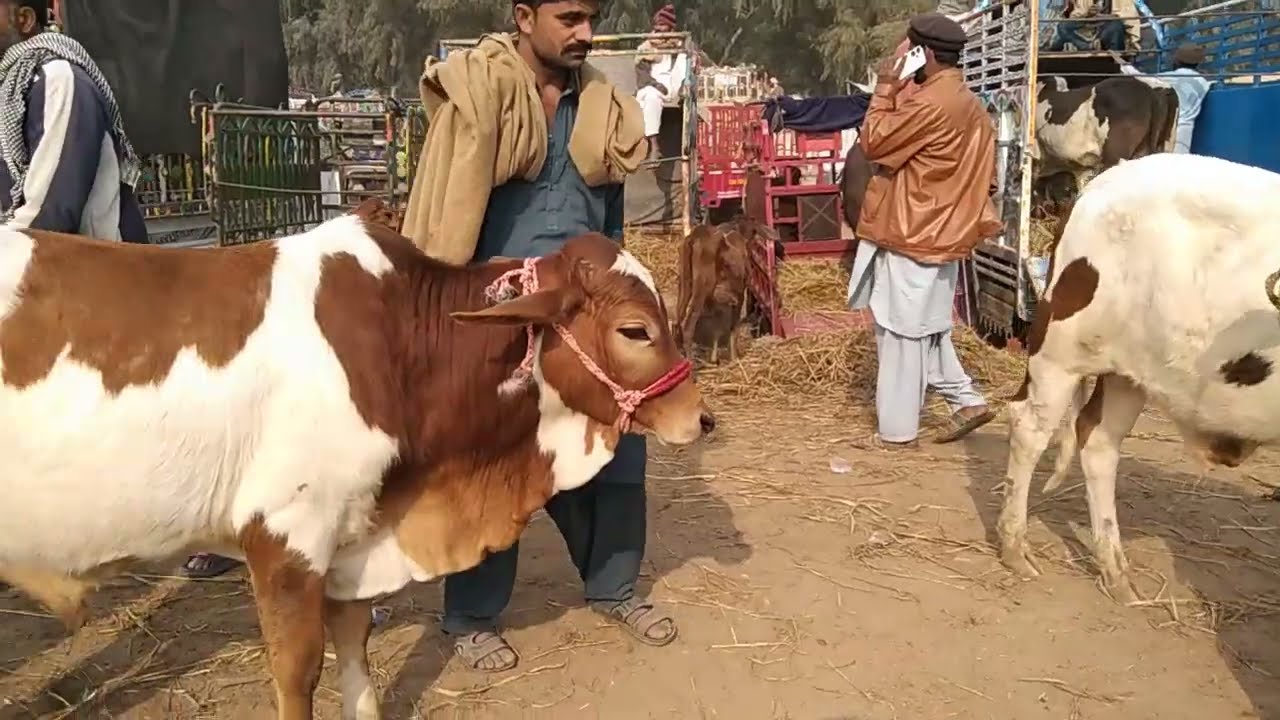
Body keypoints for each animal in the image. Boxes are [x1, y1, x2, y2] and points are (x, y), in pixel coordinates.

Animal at [0, 213, 713, 720]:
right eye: (635, 331)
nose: (700, 417)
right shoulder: (286, 535)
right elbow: (297, 673)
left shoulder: (354, 534)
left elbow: (355, 644)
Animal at [674, 218, 774, 363]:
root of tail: (694, 238)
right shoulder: (739, 293)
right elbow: (733, 325)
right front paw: (734, 356)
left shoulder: (716, 299)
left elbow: (717, 327)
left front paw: (715, 358)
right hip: (701, 287)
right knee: (688, 327)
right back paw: (691, 364)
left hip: (685, 283)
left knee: (676, 321)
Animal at [998, 153, 1280, 604]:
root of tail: (1106, 180)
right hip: (1060, 352)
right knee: (1029, 427)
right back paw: (1014, 547)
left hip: (1128, 373)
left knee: (1098, 442)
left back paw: (1115, 573)